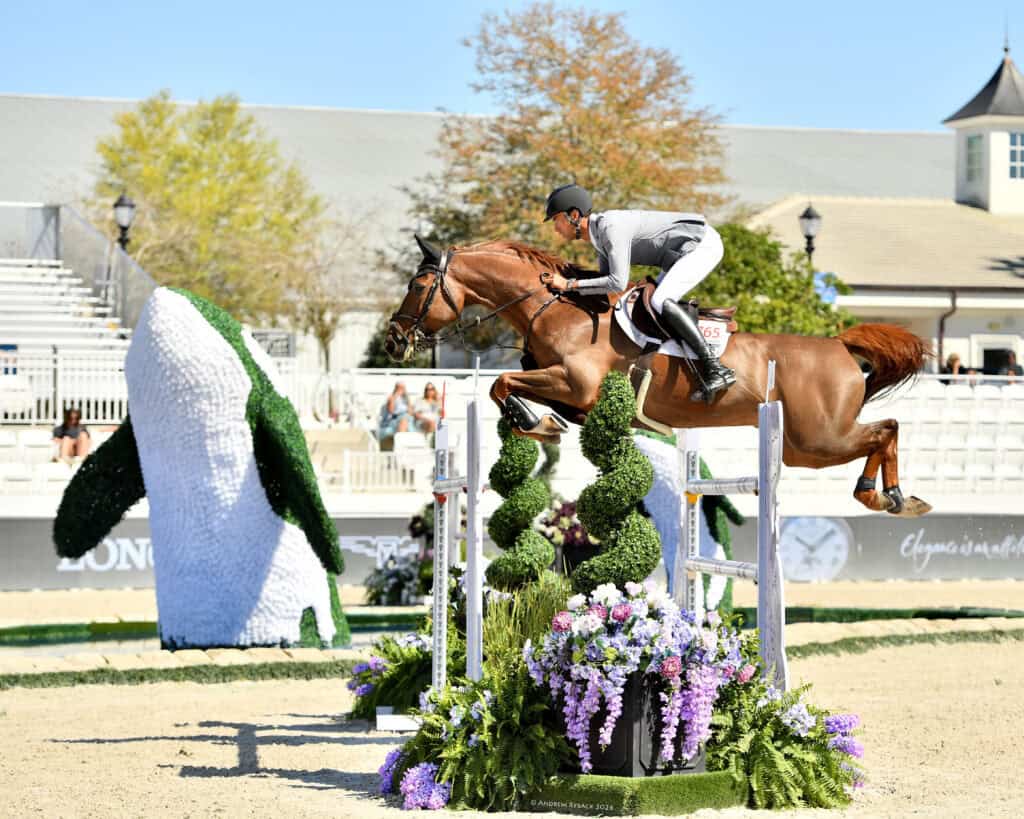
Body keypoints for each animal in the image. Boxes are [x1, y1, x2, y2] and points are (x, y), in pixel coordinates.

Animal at [386, 236, 932, 518]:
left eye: (417, 284)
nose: (393, 340)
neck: (555, 310)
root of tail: (839, 345)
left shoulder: (575, 383)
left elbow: (501, 383)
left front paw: (533, 421)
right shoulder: (575, 396)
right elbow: (511, 387)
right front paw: (539, 422)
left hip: (817, 439)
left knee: (885, 430)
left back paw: (883, 495)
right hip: (805, 447)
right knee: (883, 432)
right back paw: (892, 496)